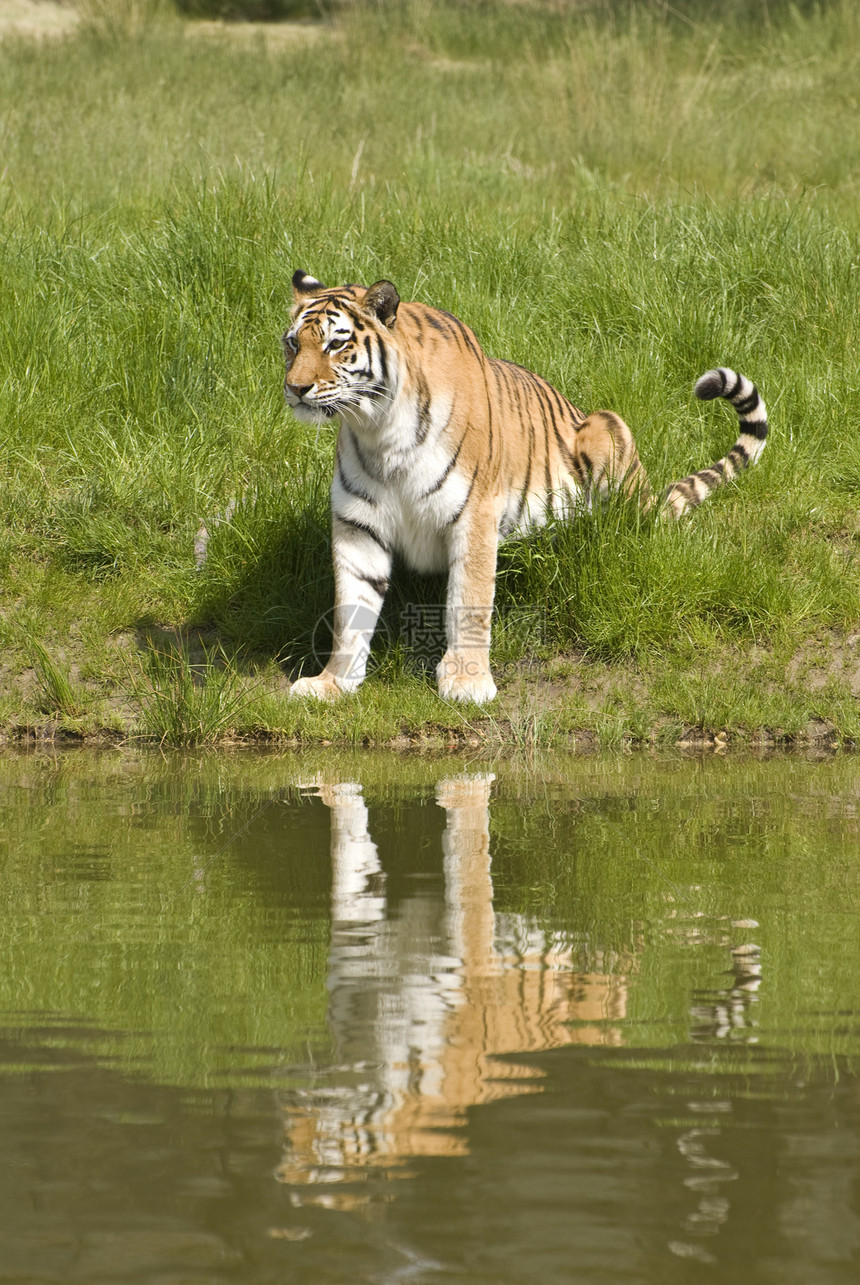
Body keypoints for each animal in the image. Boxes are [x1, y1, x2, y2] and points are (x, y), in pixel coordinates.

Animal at [285, 271, 766, 709]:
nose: (295, 388)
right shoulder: (357, 526)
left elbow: (471, 600)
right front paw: (332, 683)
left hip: (606, 431)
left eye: (335, 345)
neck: (379, 431)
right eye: (293, 344)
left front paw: (467, 683)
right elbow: (350, 611)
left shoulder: (474, 515)